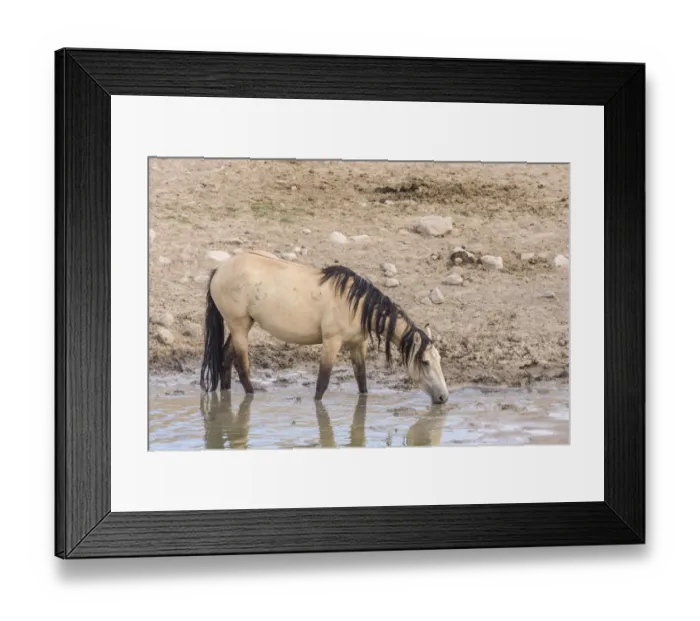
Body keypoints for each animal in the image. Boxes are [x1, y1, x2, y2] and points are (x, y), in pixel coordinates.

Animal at [199, 250, 449, 404]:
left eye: (439, 360)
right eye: (425, 362)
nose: (443, 398)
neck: (355, 303)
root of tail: (219, 271)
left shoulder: (358, 344)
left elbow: (362, 380)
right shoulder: (332, 342)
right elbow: (322, 382)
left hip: (242, 326)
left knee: (225, 359)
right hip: (239, 326)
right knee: (242, 366)